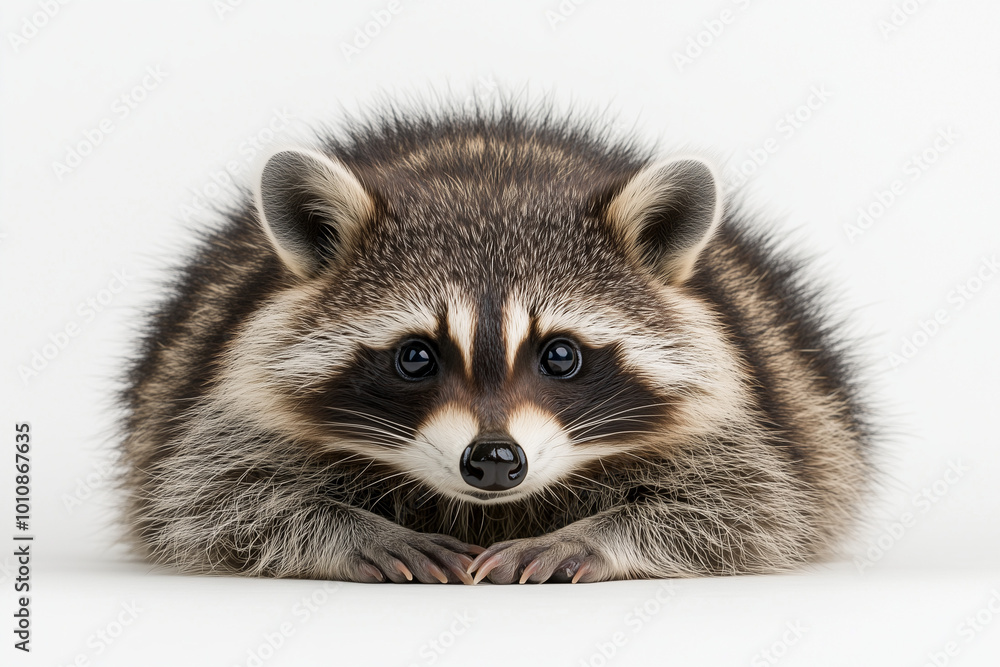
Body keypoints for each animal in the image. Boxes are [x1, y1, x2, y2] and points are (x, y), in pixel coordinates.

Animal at [120, 103, 872, 585]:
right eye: (415, 355)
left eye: (561, 354)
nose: (494, 460)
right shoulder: (223, 399)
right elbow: (218, 497)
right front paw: (359, 530)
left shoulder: (752, 418)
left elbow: (746, 504)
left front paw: (589, 535)